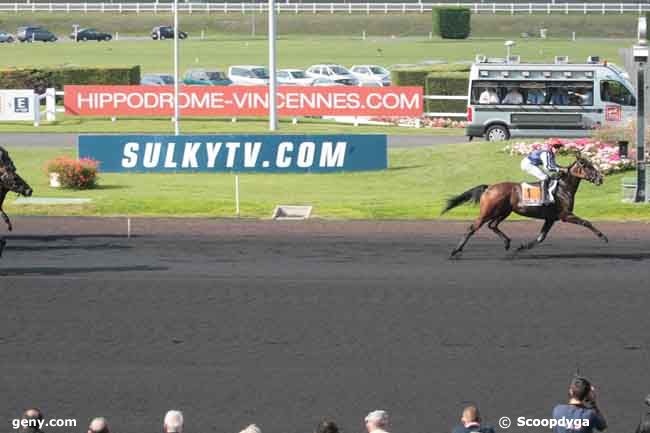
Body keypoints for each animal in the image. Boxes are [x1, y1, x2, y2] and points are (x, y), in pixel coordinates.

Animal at [442, 155, 604, 256]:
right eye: (587, 166)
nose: (600, 179)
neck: (563, 188)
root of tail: (489, 187)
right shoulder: (565, 215)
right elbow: (586, 222)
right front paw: (602, 237)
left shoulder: (551, 219)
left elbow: (541, 238)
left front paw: (521, 247)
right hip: (488, 211)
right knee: (473, 227)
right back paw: (455, 251)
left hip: (504, 211)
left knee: (492, 225)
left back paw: (507, 243)